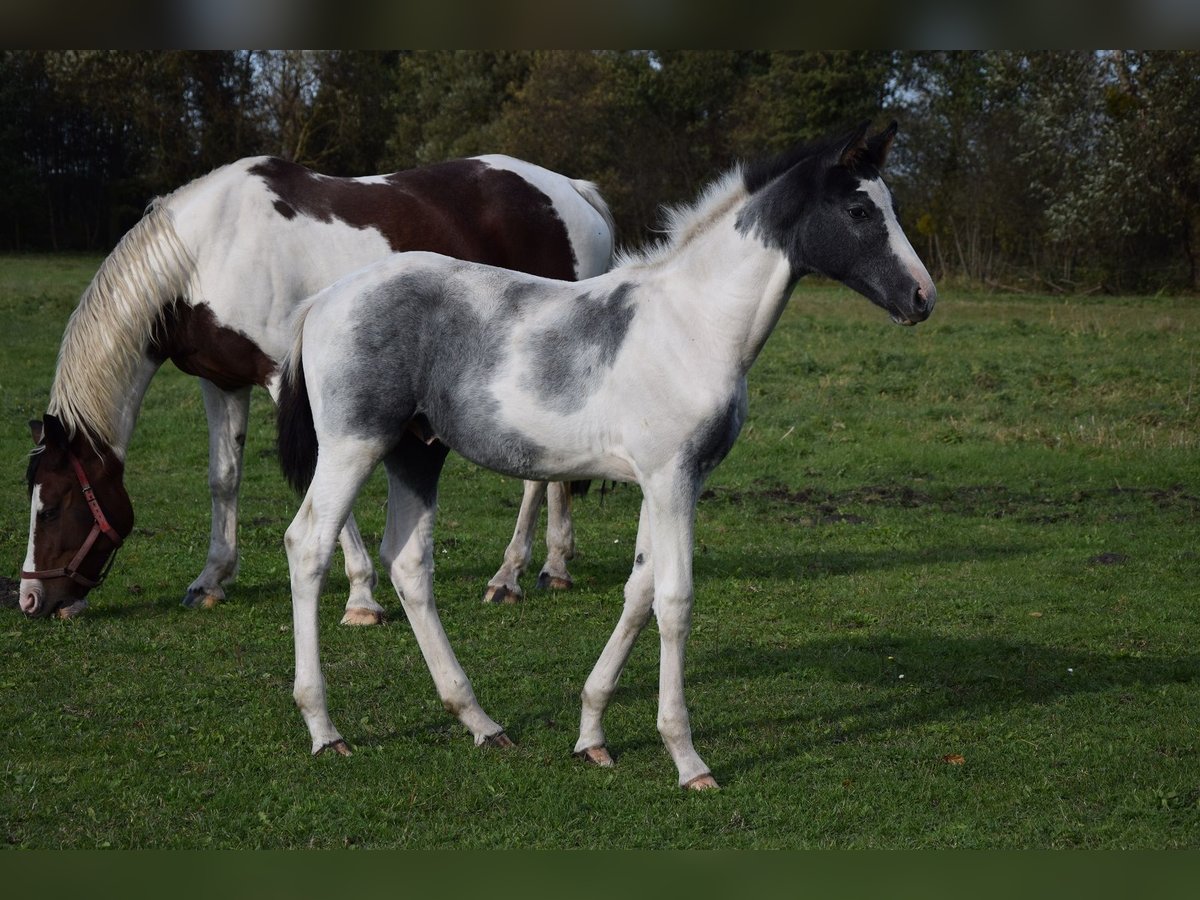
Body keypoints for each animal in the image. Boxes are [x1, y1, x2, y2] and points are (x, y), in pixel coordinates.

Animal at [18, 154, 614, 619]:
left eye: (53, 507)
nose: (30, 599)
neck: (206, 253)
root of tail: (573, 192)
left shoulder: (284, 380)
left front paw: (361, 598)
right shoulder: (222, 382)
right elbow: (223, 477)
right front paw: (211, 580)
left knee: (535, 481)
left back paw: (507, 576)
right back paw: (555, 567)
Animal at [274, 121, 936, 787]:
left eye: (891, 206)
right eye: (858, 210)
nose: (922, 297)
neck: (692, 326)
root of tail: (324, 300)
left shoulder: (668, 482)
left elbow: (639, 594)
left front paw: (591, 734)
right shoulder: (671, 479)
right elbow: (675, 601)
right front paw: (687, 758)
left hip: (417, 453)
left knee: (409, 564)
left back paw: (481, 723)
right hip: (353, 445)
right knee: (308, 546)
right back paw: (324, 729)